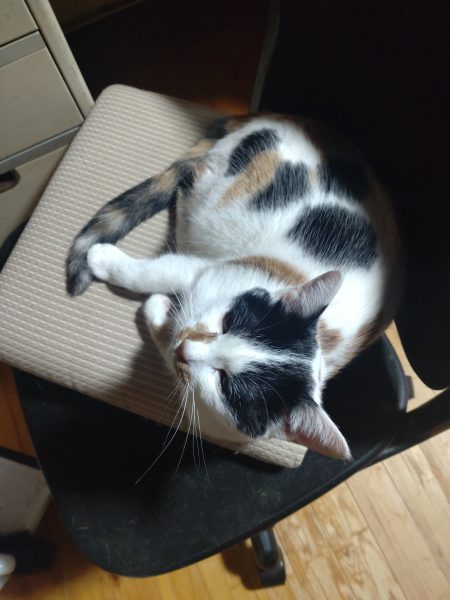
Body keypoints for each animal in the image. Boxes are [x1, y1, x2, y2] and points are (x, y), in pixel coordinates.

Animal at [66, 114, 402, 460]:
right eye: (227, 322)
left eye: (224, 384)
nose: (186, 348)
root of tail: (273, 117)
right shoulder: (208, 270)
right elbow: (152, 273)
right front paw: (103, 260)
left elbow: (166, 337)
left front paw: (160, 310)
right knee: (189, 181)